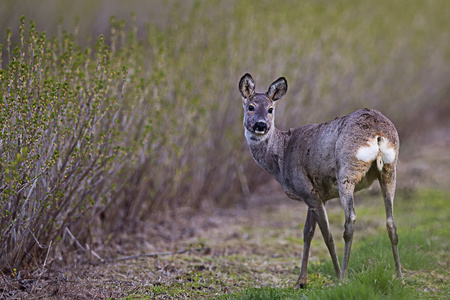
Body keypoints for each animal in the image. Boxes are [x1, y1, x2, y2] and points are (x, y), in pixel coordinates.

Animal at [241, 73, 402, 288]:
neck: (281, 156)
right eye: (250, 106)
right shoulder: (316, 195)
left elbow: (327, 236)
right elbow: (307, 232)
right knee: (391, 221)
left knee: (350, 220)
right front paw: (300, 282)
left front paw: (334, 275)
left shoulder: (308, 190)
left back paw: (343, 278)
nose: (261, 125)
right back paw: (399, 277)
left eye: (270, 109)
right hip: (389, 170)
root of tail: (378, 134)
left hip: (347, 171)